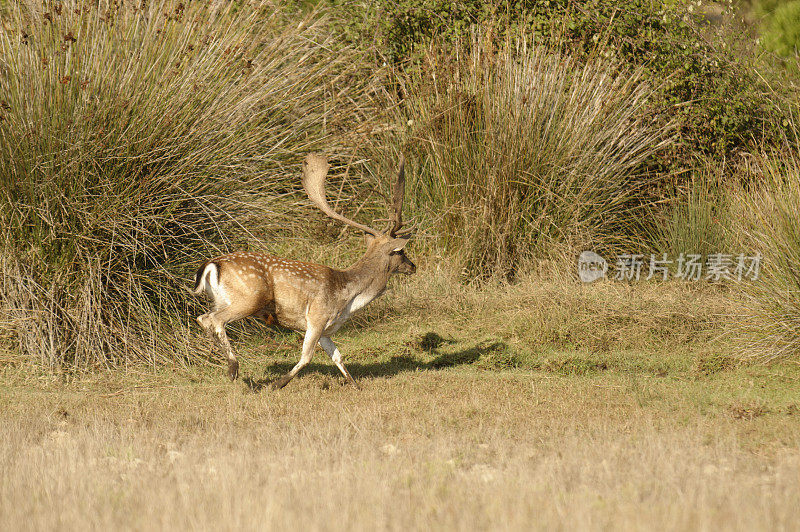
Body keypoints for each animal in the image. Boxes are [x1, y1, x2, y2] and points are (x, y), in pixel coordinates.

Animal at [191, 154, 412, 390]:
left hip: (221, 299)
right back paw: (234, 368)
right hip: (249, 298)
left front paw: (356, 386)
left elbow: (337, 356)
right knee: (213, 319)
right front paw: (277, 384)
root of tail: (211, 264)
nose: (413, 266)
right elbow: (307, 357)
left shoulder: (325, 329)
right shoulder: (317, 316)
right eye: (401, 251)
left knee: (203, 318)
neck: (348, 298)